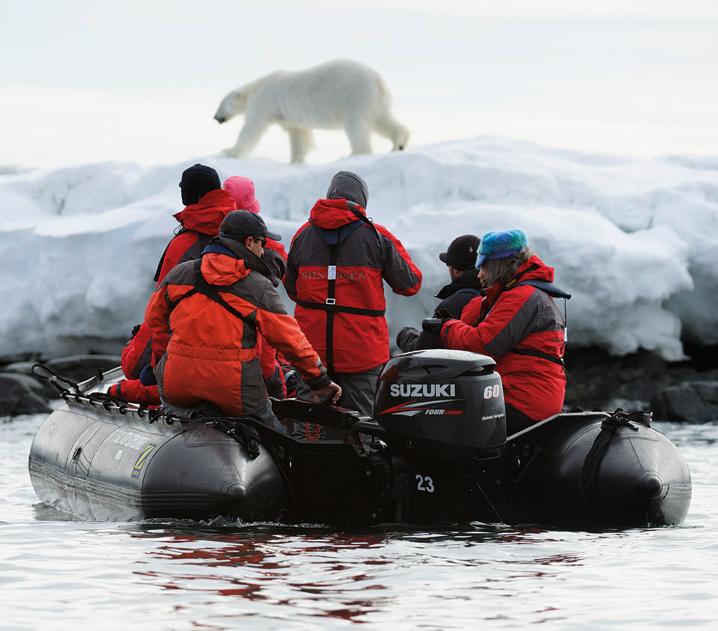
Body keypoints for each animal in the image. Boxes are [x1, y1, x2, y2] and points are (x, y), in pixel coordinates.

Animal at [214, 59, 410, 164]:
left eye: (220, 104)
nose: (215, 117)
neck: (255, 87)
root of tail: (377, 79)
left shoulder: (264, 101)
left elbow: (252, 127)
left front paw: (229, 151)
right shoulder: (290, 118)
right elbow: (298, 135)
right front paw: (296, 160)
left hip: (354, 95)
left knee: (357, 126)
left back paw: (356, 153)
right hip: (375, 101)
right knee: (382, 120)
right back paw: (399, 144)